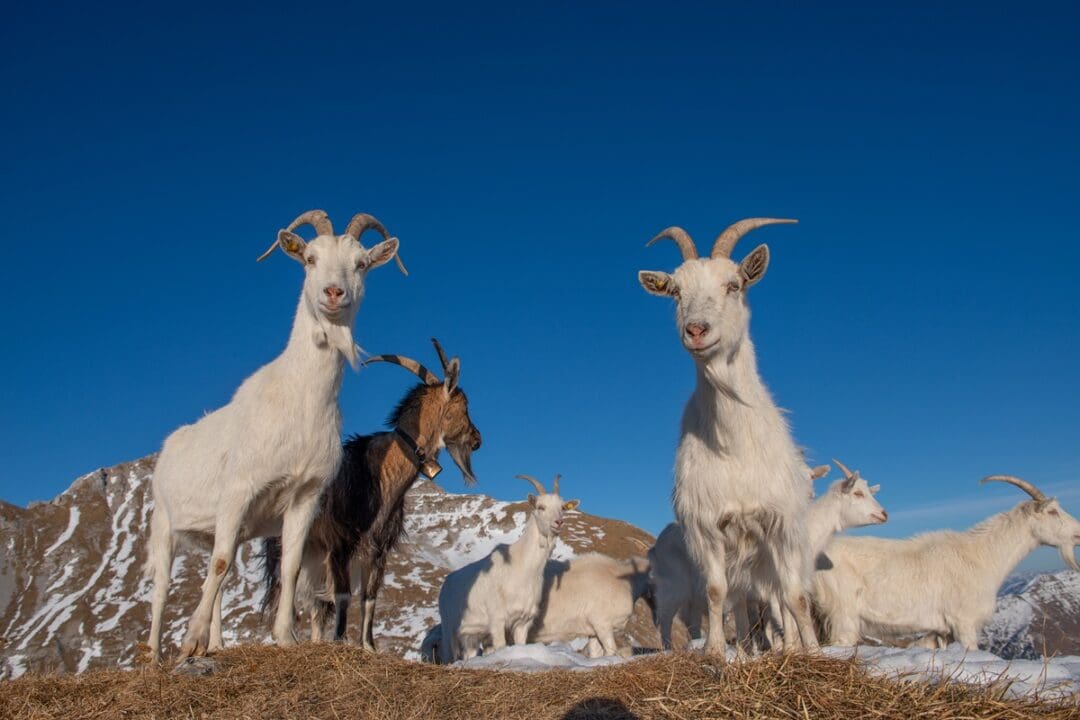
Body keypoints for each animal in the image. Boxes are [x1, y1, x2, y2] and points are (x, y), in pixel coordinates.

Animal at [144, 210, 402, 661]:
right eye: (310, 259)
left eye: (361, 264)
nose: (333, 293)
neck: (299, 401)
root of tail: (169, 446)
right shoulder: (238, 490)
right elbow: (220, 564)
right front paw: (190, 640)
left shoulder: (305, 497)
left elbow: (291, 567)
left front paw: (285, 636)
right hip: (164, 522)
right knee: (162, 589)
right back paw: (156, 655)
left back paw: (216, 643)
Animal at [262, 339, 481, 649]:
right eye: (464, 406)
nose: (477, 439)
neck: (382, 473)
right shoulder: (340, 543)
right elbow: (343, 596)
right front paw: (340, 641)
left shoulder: (378, 550)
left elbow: (369, 598)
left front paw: (369, 646)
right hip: (287, 546)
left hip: (314, 555)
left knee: (317, 605)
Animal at [435, 474, 579, 663]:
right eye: (540, 507)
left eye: (562, 507)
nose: (559, 522)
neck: (522, 567)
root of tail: (446, 584)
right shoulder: (497, 619)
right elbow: (501, 646)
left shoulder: (523, 621)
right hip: (448, 628)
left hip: (472, 633)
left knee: (470, 652)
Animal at [638, 218, 816, 654]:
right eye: (675, 291)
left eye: (734, 284)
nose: (696, 330)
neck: (733, 445)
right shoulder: (707, 526)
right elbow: (717, 592)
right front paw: (716, 652)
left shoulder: (780, 524)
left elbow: (795, 596)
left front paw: (811, 652)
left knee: (784, 594)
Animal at [813, 475, 1080, 650]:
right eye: (1053, 511)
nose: (1078, 532)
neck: (982, 555)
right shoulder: (964, 622)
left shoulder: (942, 631)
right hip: (843, 613)